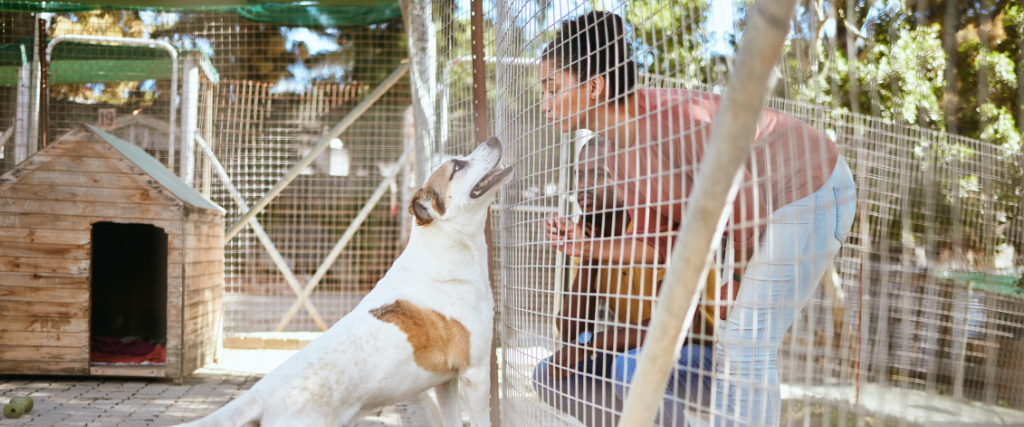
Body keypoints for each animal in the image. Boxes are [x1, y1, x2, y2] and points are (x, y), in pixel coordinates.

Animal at [180, 136, 512, 425]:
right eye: (457, 166)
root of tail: (258, 395)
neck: (449, 247)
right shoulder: (475, 374)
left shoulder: (446, 382)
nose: (494, 138)